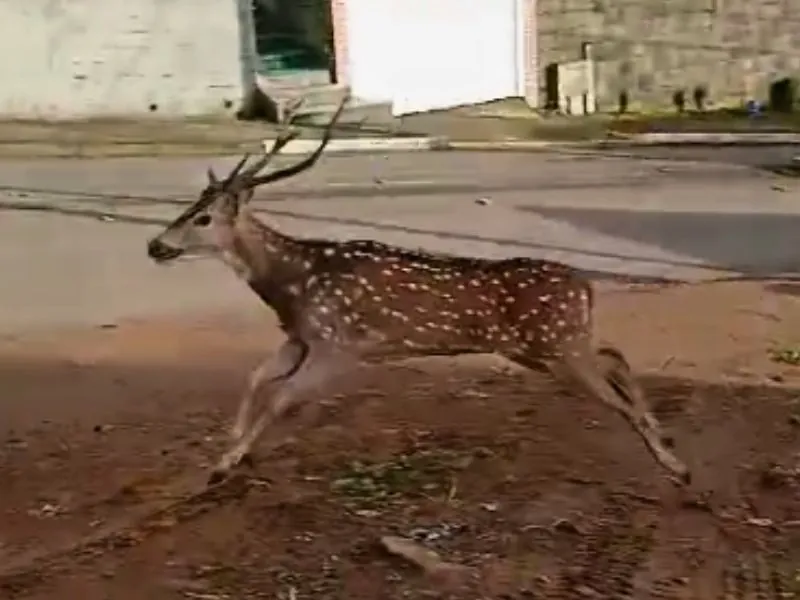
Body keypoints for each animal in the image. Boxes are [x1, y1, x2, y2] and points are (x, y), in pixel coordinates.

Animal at [147, 92, 692, 488]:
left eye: (202, 218)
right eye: (189, 206)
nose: (155, 245)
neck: (291, 282)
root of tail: (585, 286)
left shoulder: (340, 343)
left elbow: (281, 397)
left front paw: (227, 464)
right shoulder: (300, 337)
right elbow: (255, 377)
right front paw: (225, 451)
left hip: (556, 345)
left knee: (614, 389)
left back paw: (676, 467)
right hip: (546, 345)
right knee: (614, 354)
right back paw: (666, 442)